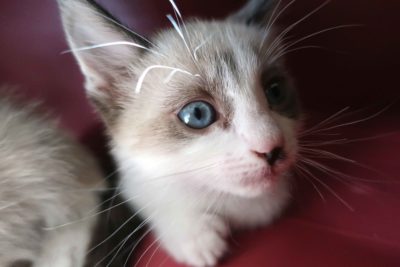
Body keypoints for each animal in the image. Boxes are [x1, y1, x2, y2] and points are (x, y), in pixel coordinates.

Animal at [56, 0, 300, 266]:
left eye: (275, 91)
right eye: (198, 114)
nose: (272, 147)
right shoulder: (126, 183)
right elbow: (145, 196)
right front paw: (193, 233)